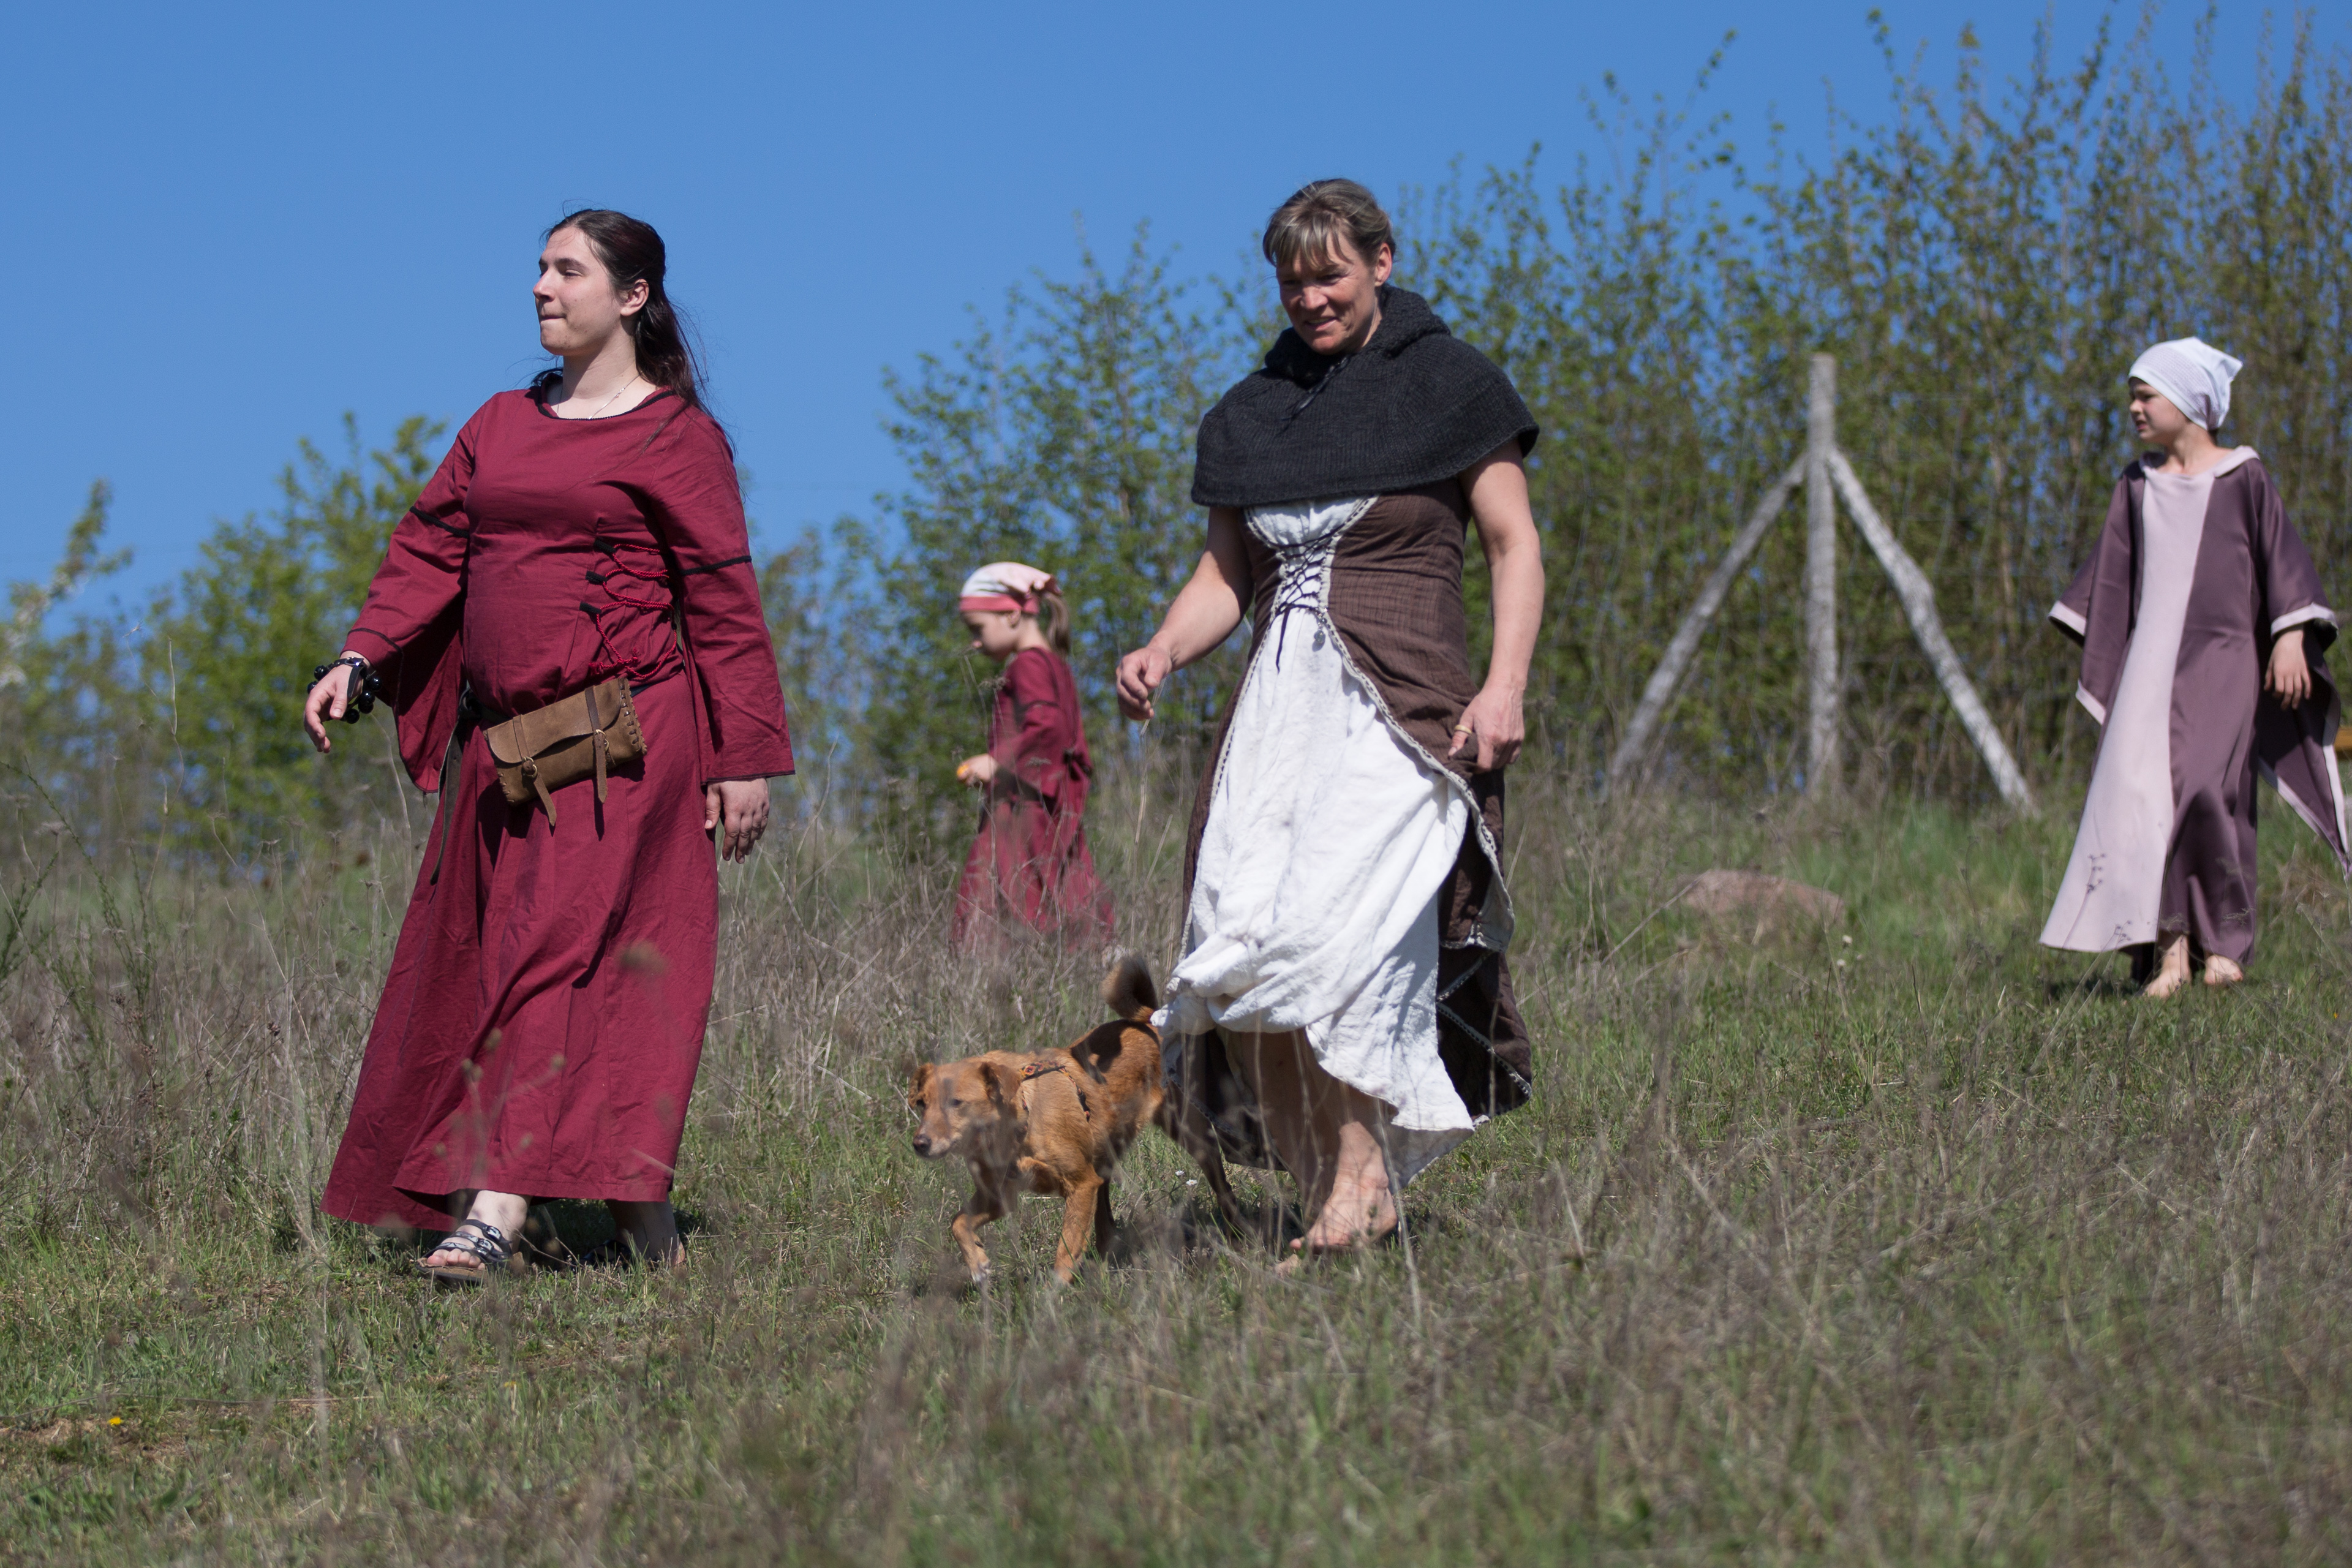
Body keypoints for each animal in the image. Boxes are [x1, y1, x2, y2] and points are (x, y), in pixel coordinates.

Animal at [907, 954, 1244, 1285]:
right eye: (922, 1104)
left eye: (956, 1103)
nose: (919, 1144)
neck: (1017, 1127)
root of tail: (1148, 1021)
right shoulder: (998, 1197)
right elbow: (958, 1222)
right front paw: (977, 1263)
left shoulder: (1081, 1185)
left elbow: (1066, 1249)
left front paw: (1054, 1296)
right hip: (1105, 1153)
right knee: (1105, 1216)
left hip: (1190, 1132)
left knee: (1220, 1181)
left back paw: (1237, 1233)